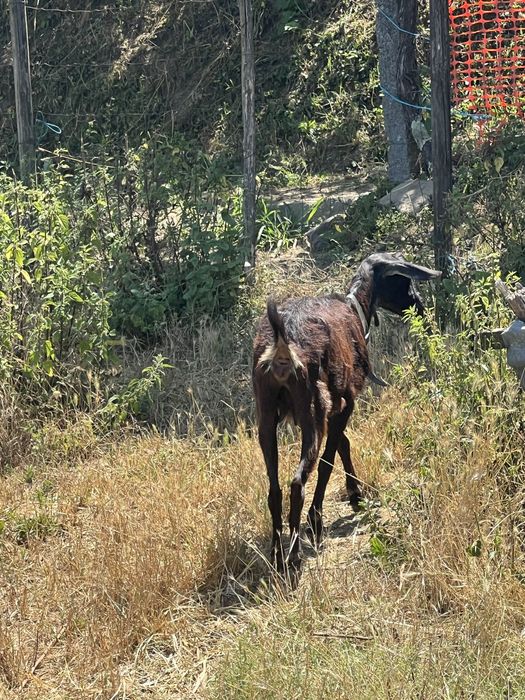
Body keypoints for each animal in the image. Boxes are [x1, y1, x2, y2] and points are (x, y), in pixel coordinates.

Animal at [252, 252, 441, 571]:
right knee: (297, 483)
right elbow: (329, 461)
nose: (420, 307)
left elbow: (343, 445)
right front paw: (320, 518)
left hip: (265, 418)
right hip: (310, 415)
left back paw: (277, 552)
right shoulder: (344, 403)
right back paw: (295, 553)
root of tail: (282, 344)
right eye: (403, 280)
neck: (355, 308)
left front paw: (355, 492)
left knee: (274, 489)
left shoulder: (335, 408)